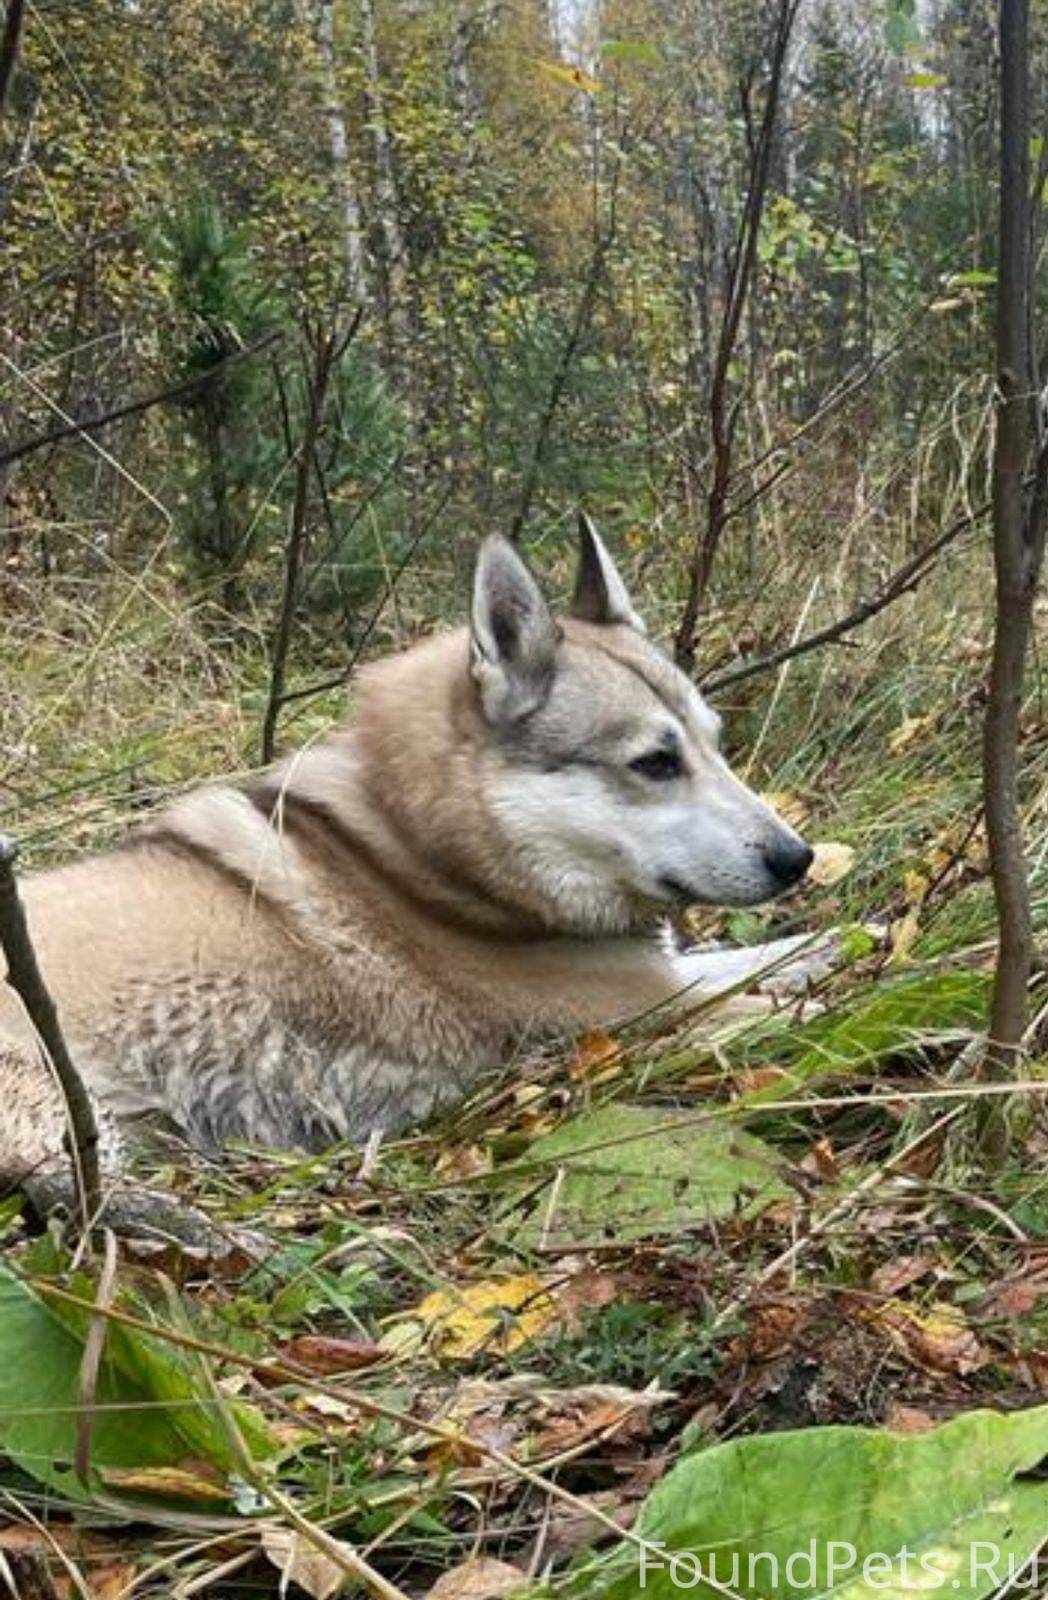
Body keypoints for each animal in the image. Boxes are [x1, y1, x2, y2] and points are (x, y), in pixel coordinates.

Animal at [0, 518, 819, 1196]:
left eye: (716, 743)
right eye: (654, 763)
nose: (799, 858)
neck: (419, 857)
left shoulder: (668, 974)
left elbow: (781, 952)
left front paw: (835, 941)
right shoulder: (649, 1012)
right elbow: (776, 994)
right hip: (64, 1128)